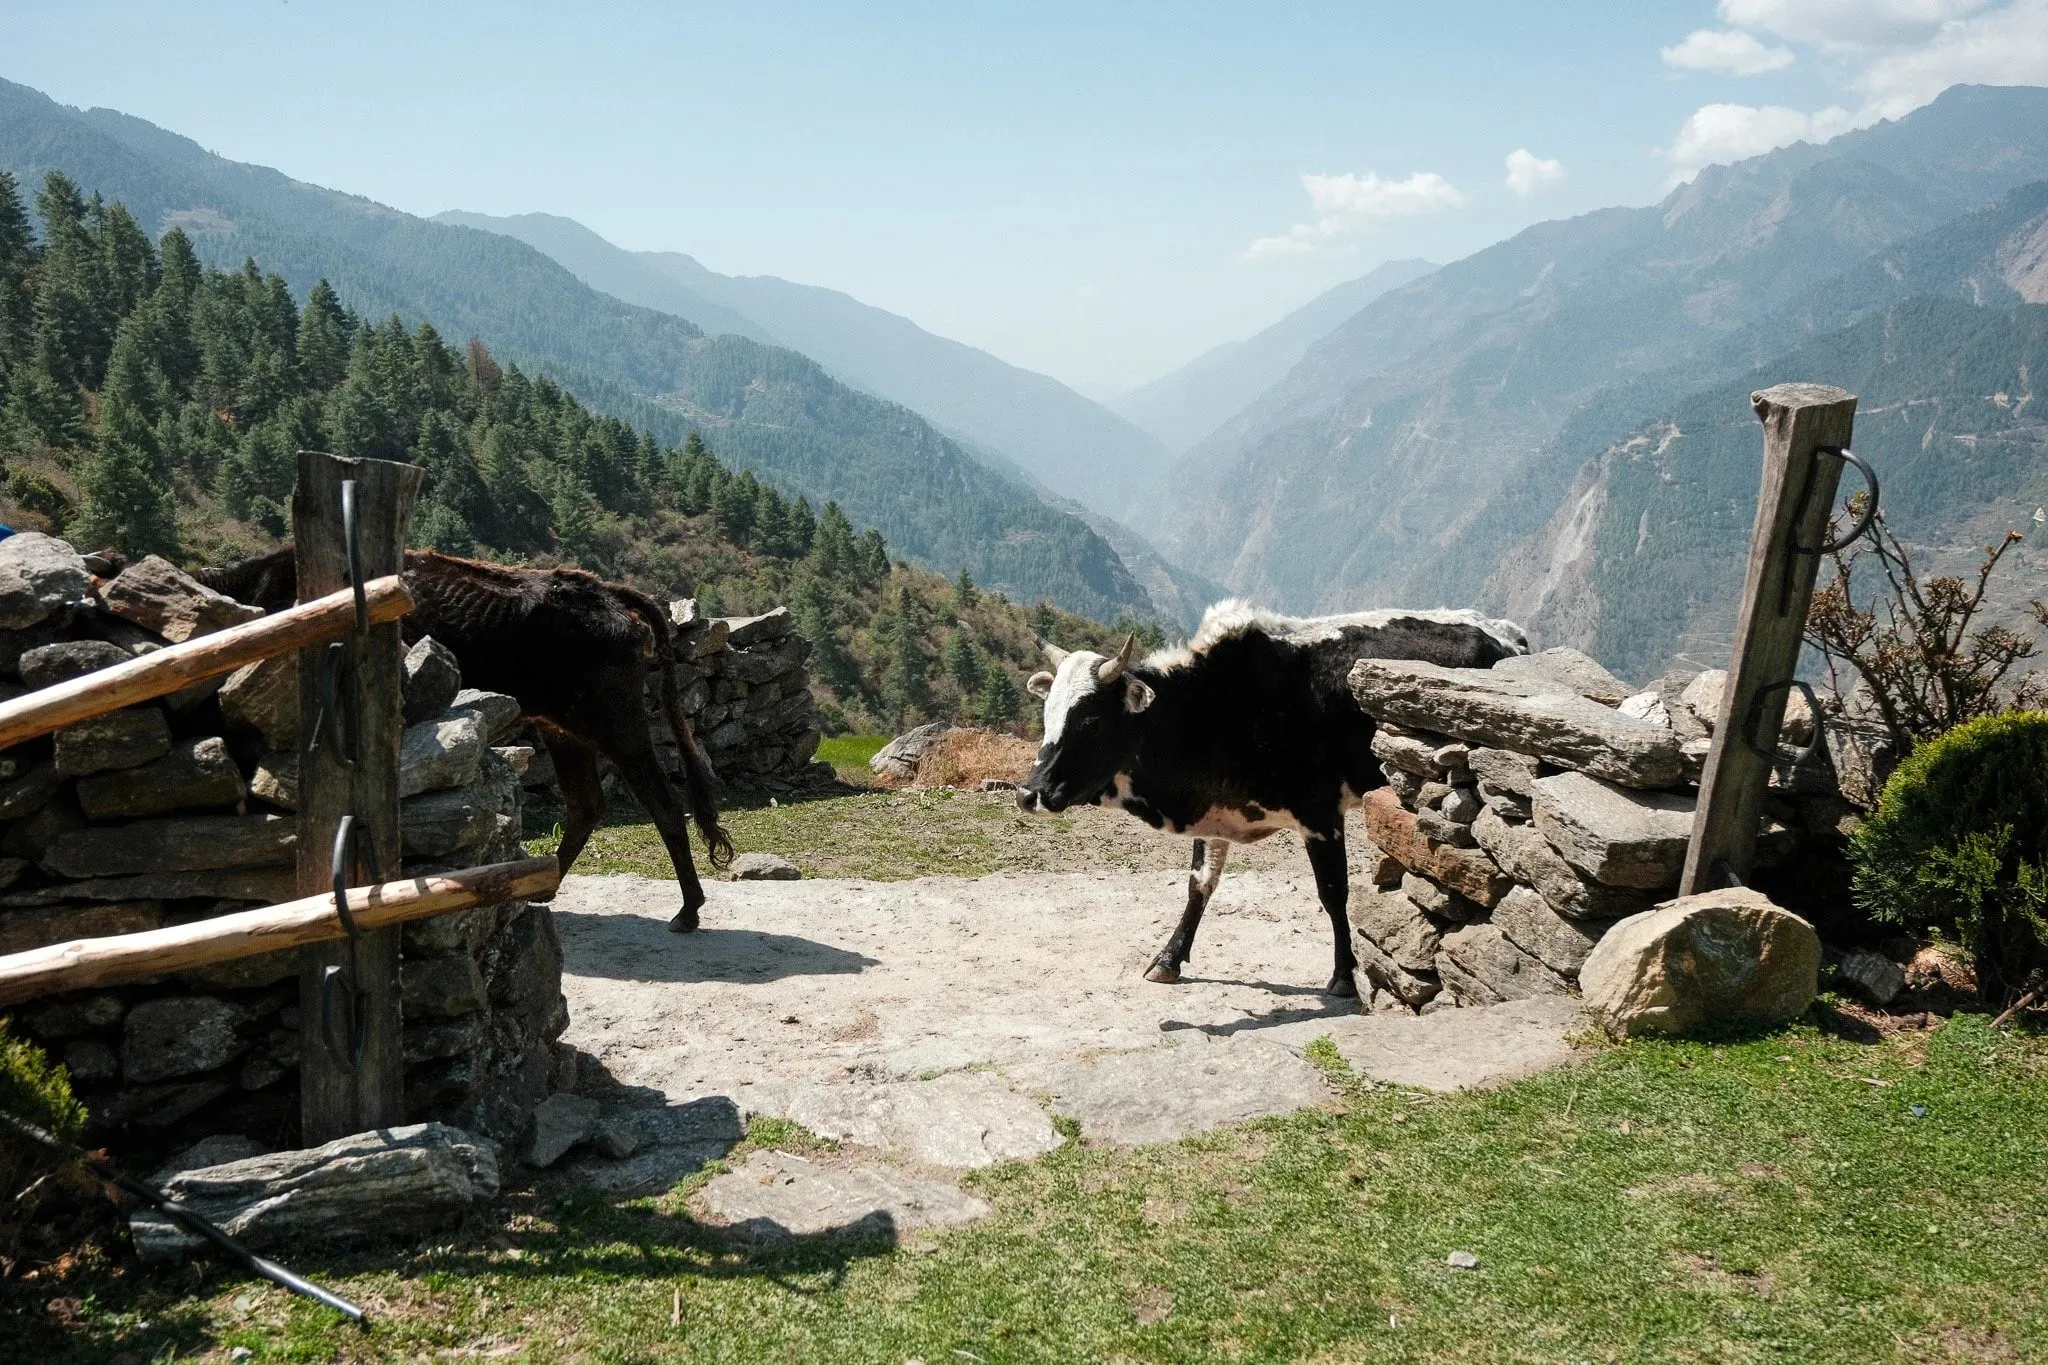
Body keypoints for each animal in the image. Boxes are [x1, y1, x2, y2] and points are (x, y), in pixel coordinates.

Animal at [180, 547, 734, 931]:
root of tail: (601, 590)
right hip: (563, 729)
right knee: (586, 806)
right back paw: (541, 887)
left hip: (616, 723)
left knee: (664, 804)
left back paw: (688, 910)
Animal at [1017, 601, 1527, 997]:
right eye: (1048, 713)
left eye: (1090, 721)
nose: (1029, 792)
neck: (1214, 706)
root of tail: (1507, 632)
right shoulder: (1216, 811)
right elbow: (1199, 884)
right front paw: (1168, 958)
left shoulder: (1320, 814)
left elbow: (1333, 894)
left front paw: (1344, 976)